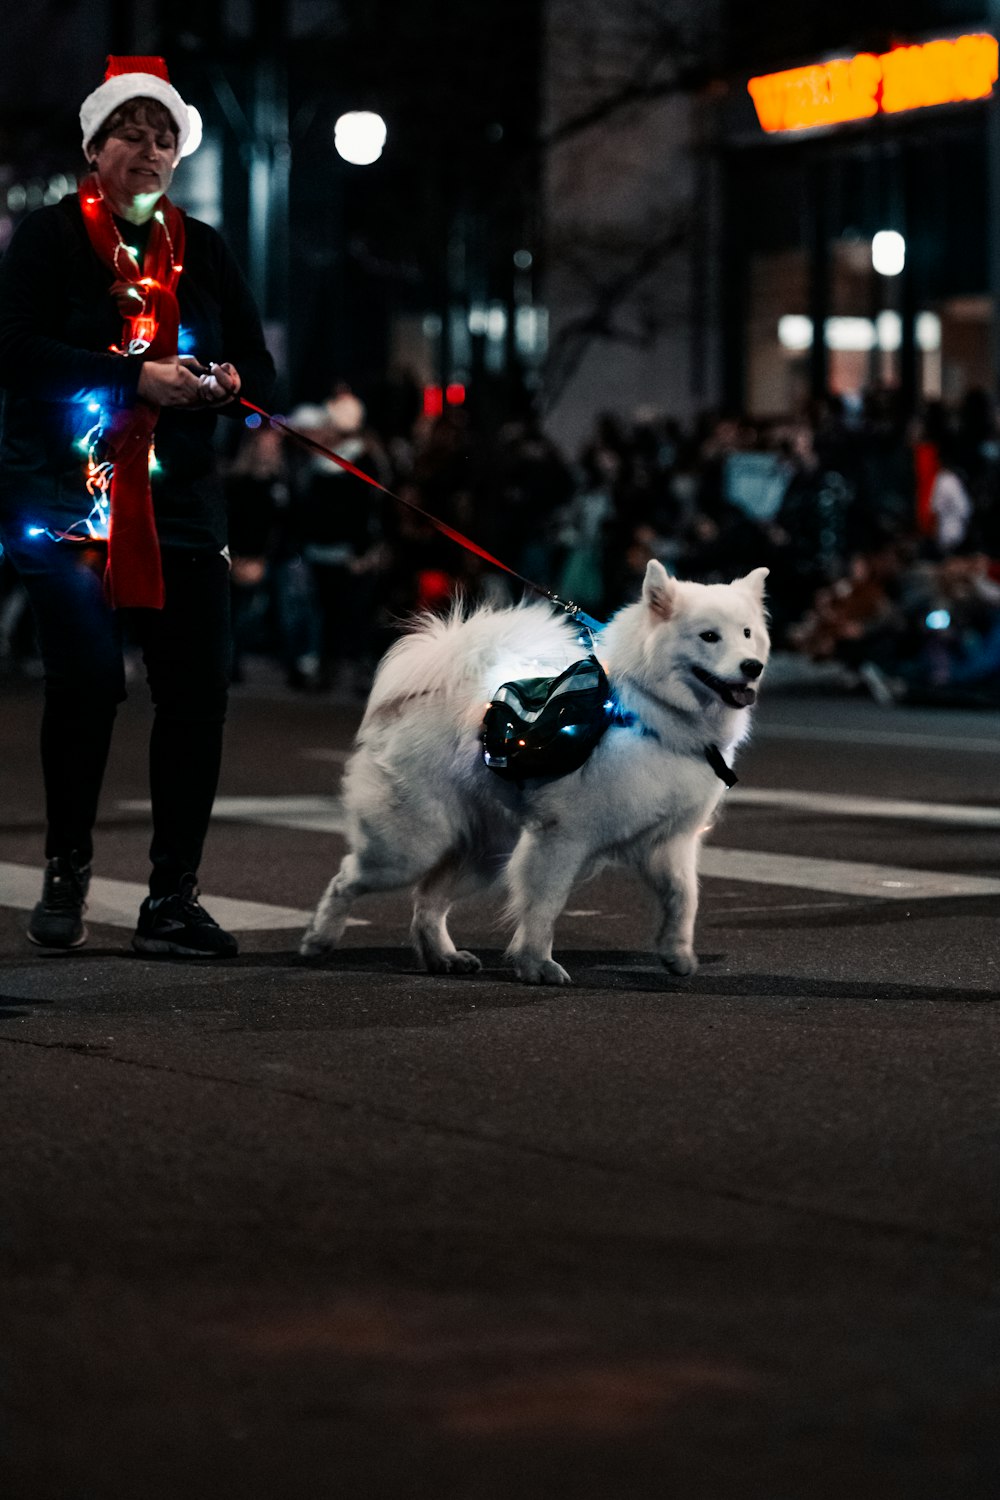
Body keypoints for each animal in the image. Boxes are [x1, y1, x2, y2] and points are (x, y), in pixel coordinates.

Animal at [301, 564, 773, 984]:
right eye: (709, 636)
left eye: (747, 633)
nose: (753, 666)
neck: (651, 712)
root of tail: (414, 698)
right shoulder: (562, 839)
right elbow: (545, 906)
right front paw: (536, 965)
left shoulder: (670, 841)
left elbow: (683, 898)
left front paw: (677, 953)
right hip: (410, 848)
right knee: (347, 878)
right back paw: (319, 940)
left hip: (486, 855)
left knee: (427, 900)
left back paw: (443, 957)